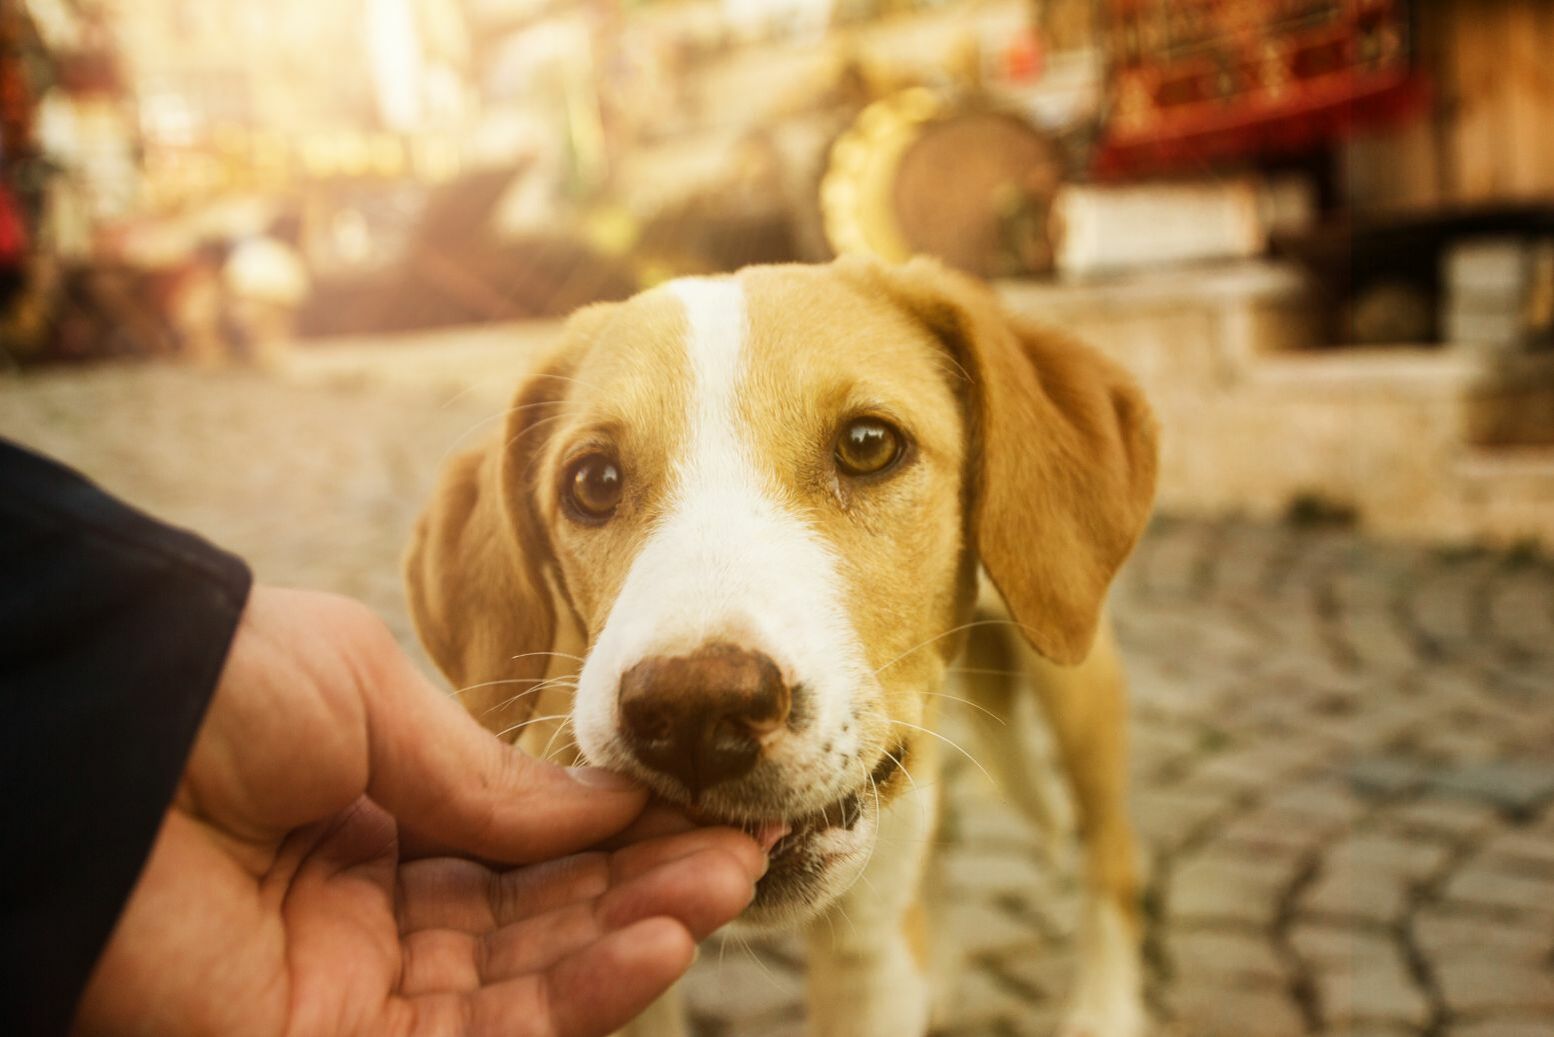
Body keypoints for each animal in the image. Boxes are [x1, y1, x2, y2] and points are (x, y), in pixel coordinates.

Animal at [407, 253, 1162, 1037]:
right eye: (593, 481)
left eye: (868, 444)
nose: (695, 712)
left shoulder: (866, 954)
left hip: (1075, 674)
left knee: (1113, 851)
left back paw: (1102, 1009)